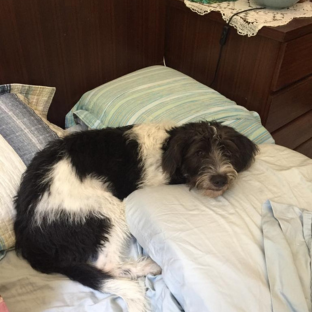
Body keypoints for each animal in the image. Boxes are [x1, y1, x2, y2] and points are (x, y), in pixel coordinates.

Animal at [14, 120, 258, 310]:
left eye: (228, 152)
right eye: (198, 153)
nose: (219, 179)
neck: (167, 148)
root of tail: (29, 240)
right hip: (111, 209)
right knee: (106, 265)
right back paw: (148, 266)